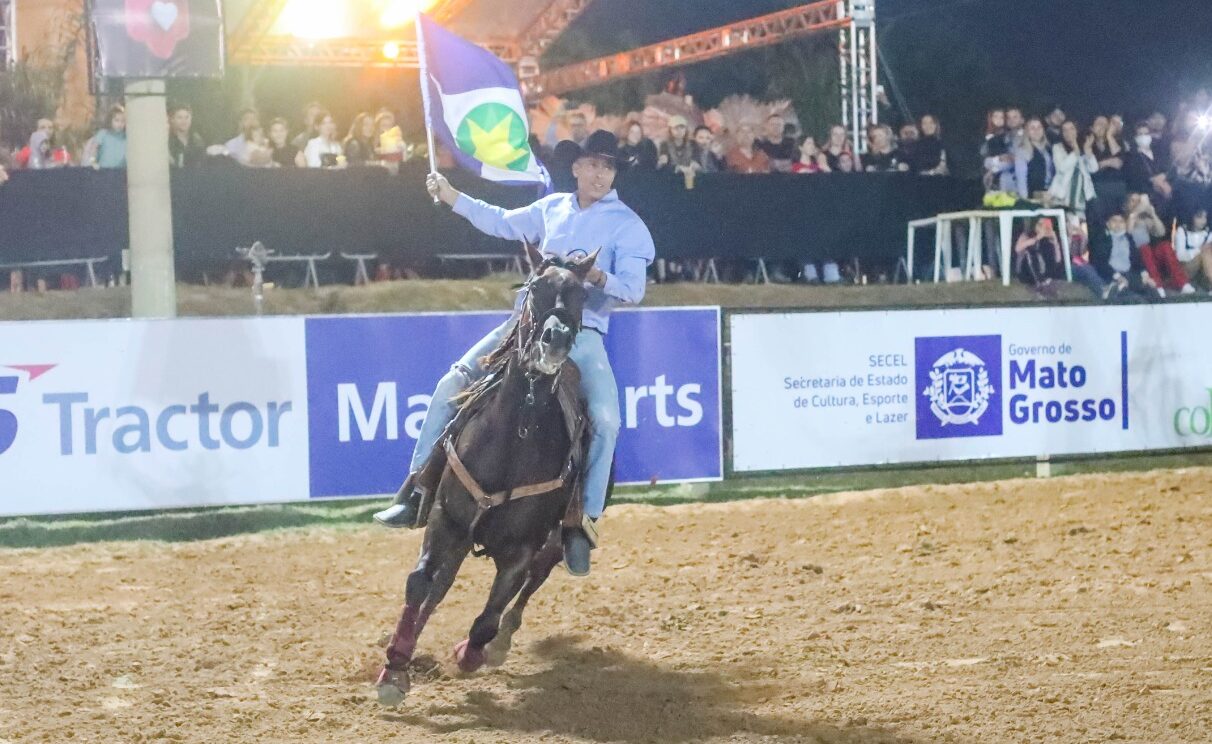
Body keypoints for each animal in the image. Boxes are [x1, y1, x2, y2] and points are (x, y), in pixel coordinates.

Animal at [370, 248, 593, 707]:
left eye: (582, 294)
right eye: (535, 287)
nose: (555, 340)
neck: (514, 436)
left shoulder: (522, 549)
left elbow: (488, 616)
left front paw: (471, 653)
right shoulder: (446, 519)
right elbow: (419, 584)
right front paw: (395, 668)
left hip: (553, 542)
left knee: (530, 587)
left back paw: (500, 644)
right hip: (458, 537)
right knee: (438, 588)